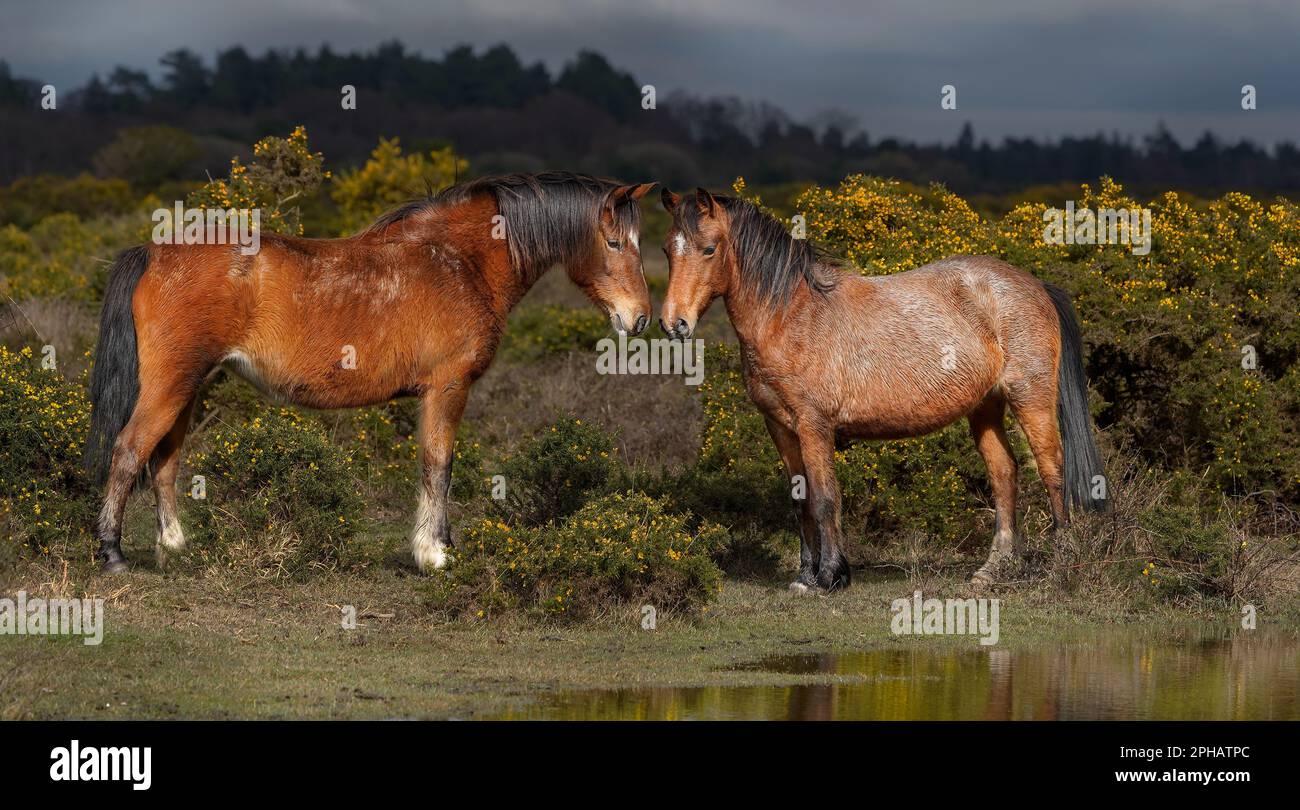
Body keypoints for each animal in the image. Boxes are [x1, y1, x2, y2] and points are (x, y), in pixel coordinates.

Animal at [85, 172, 655, 574]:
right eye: (615, 243)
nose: (642, 318)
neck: (458, 259)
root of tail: (153, 252)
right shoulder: (447, 387)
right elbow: (438, 464)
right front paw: (435, 553)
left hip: (187, 388)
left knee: (164, 462)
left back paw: (175, 549)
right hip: (171, 385)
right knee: (129, 450)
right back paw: (113, 553)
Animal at [660, 191, 1107, 595]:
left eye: (709, 248)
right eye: (667, 249)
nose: (673, 324)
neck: (792, 315)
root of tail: (1035, 285)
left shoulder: (814, 425)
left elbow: (824, 498)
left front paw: (831, 577)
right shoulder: (780, 427)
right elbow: (799, 499)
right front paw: (805, 577)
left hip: (1030, 398)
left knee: (1052, 469)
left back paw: (1063, 560)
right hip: (986, 407)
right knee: (1004, 473)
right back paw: (993, 569)